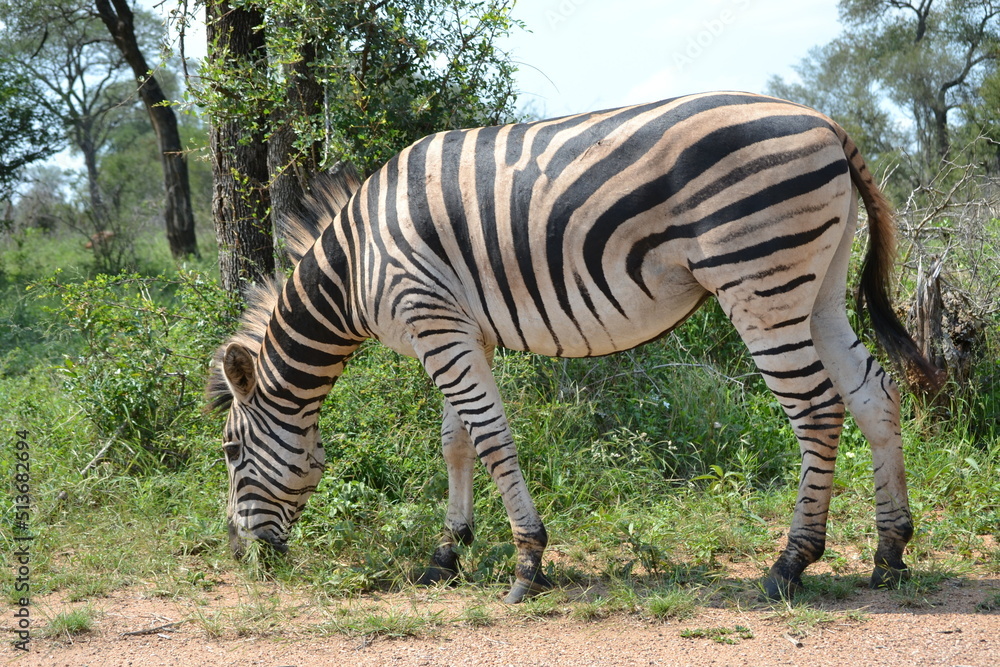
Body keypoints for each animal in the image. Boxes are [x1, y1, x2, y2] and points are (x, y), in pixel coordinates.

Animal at [207, 91, 937, 603]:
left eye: (231, 451)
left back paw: (790, 563)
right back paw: (890, 551)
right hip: (817, 285)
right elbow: (456, 442)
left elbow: (491, 438)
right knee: (874, 395)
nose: (242, 556)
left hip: (760, 279)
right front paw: (448, 553)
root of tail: (828, 124)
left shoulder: (433, 321)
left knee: (817, 411)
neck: (353, 267)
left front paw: (528, 562)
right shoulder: (459, 329)